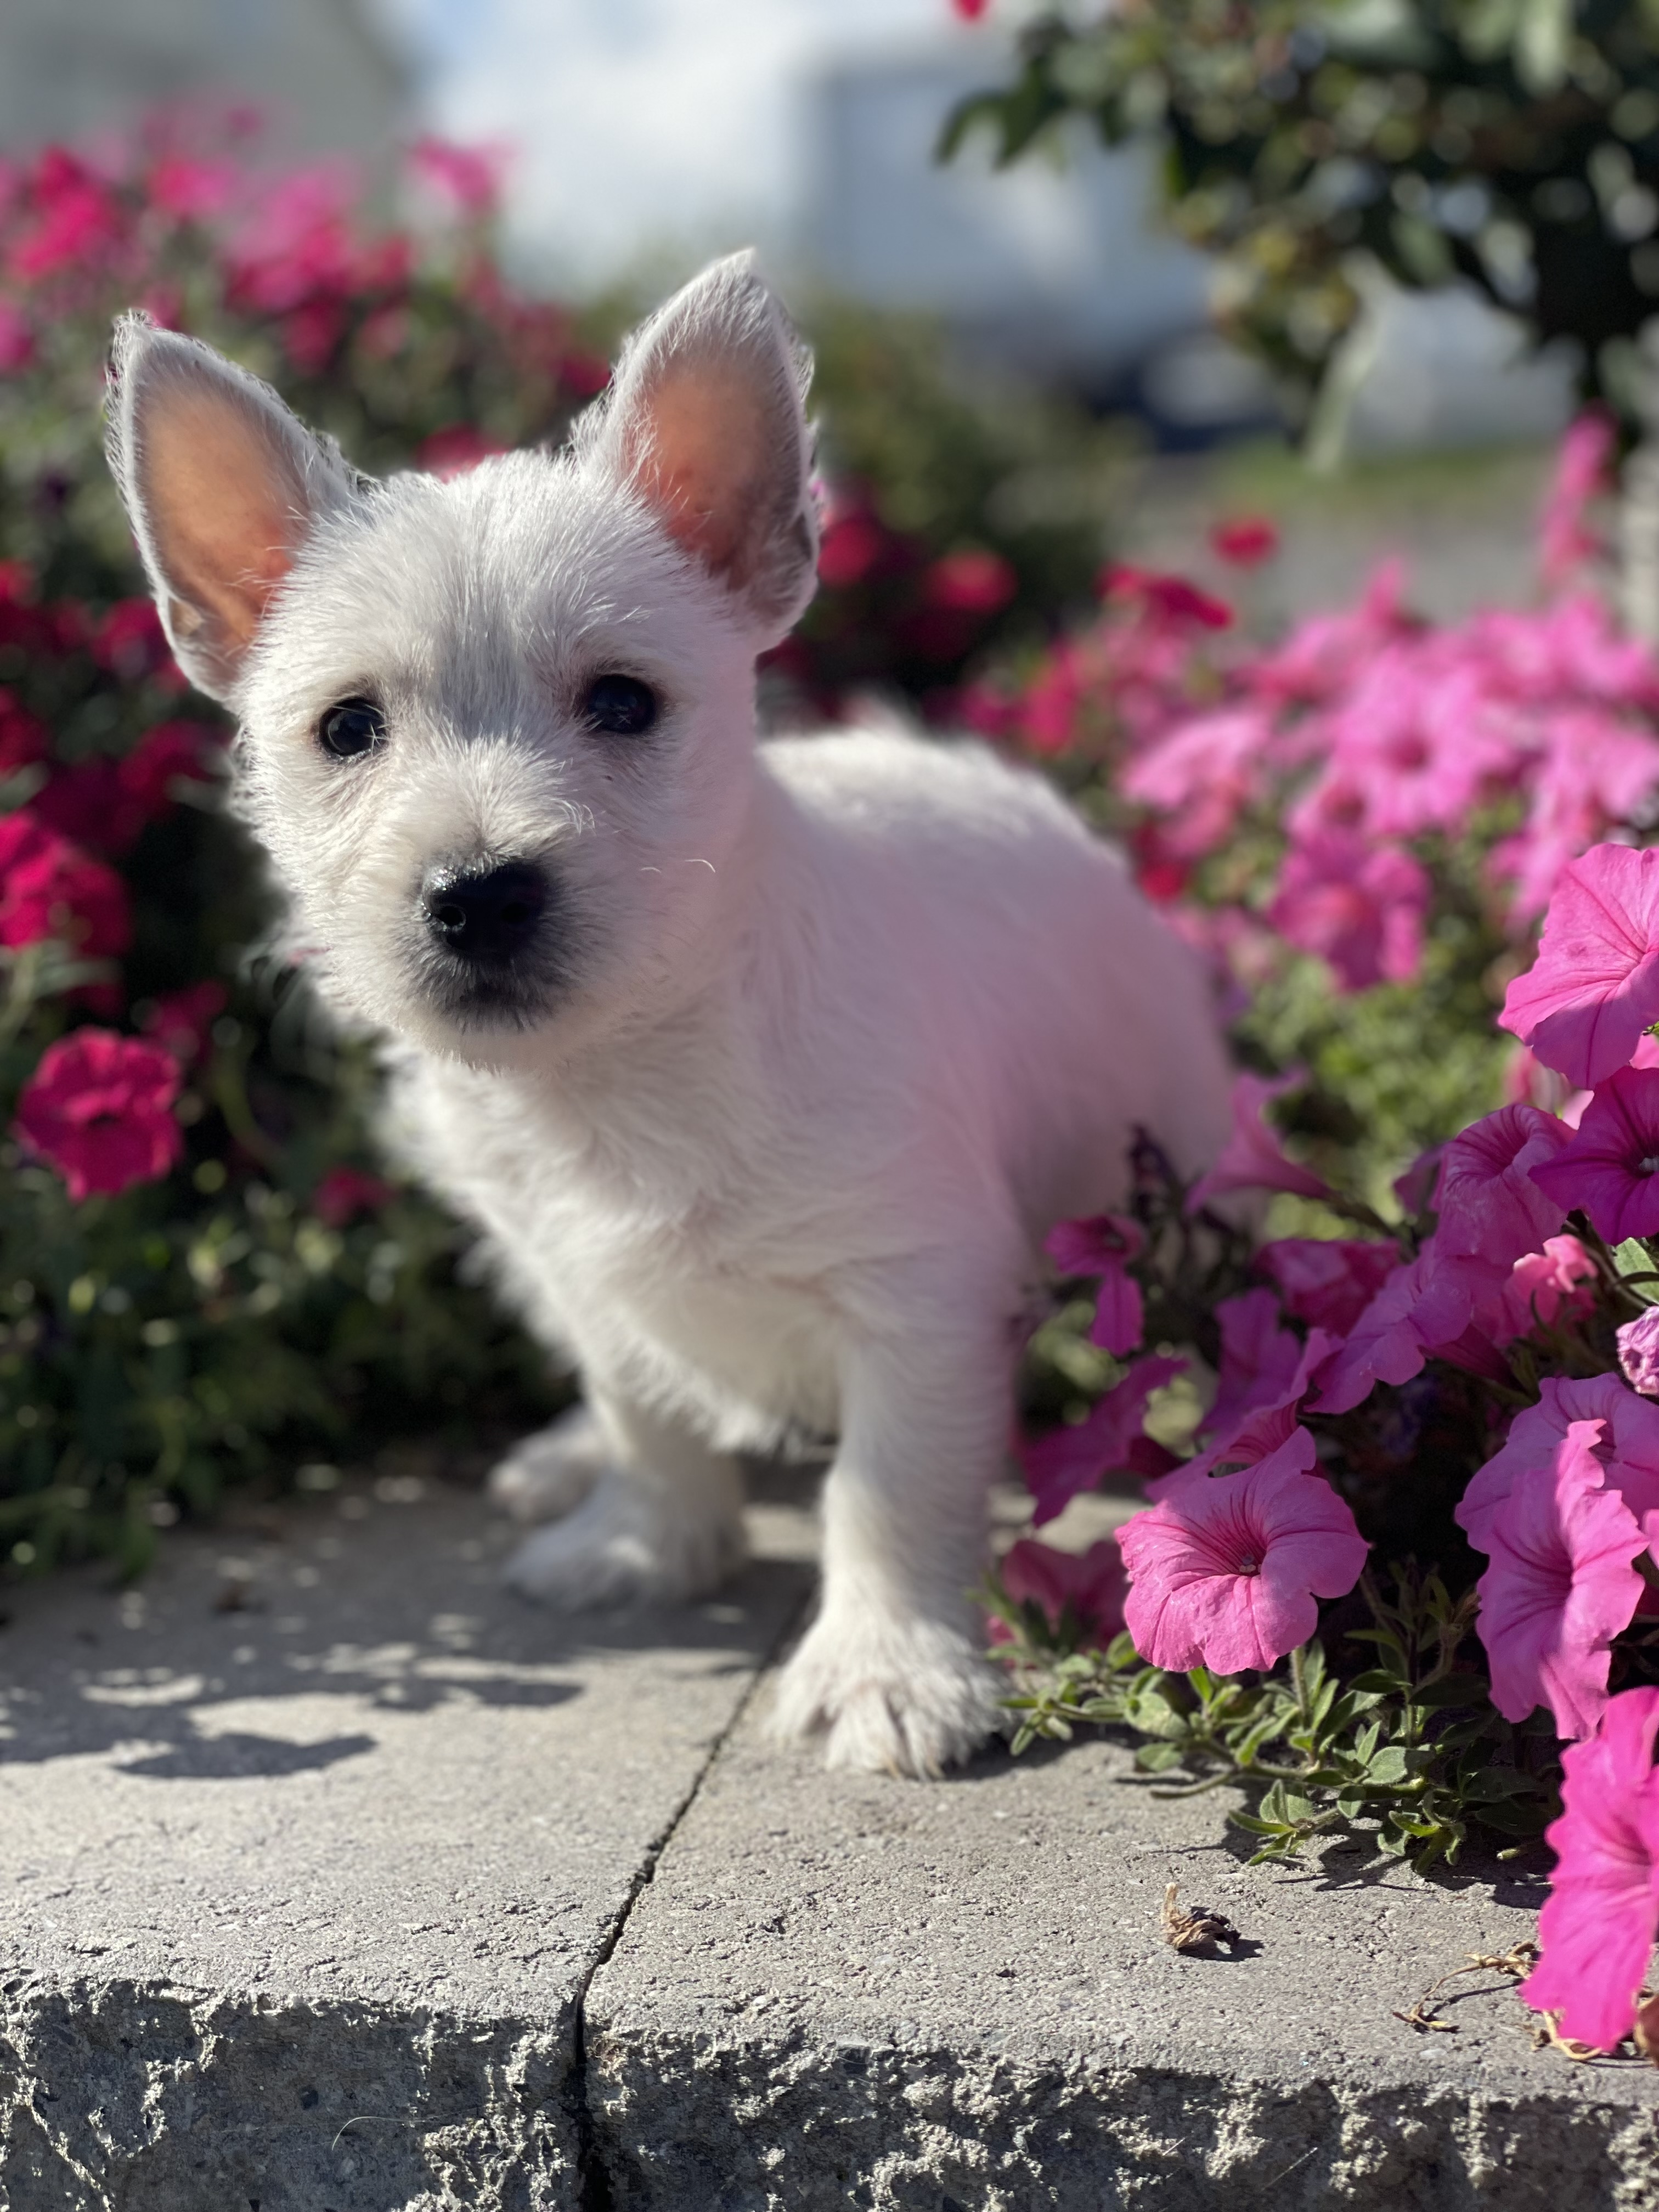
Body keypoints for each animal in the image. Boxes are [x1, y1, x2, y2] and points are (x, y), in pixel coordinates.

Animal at [104, 254, 1238, 1778]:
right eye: (346, 729)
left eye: (624, 703)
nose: (479, 895)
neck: (626, 1072)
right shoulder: (579, 1263)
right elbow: (642, 1405)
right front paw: (649, 1539)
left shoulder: (919, 1294)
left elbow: (887, 1486)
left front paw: (889, 1669)